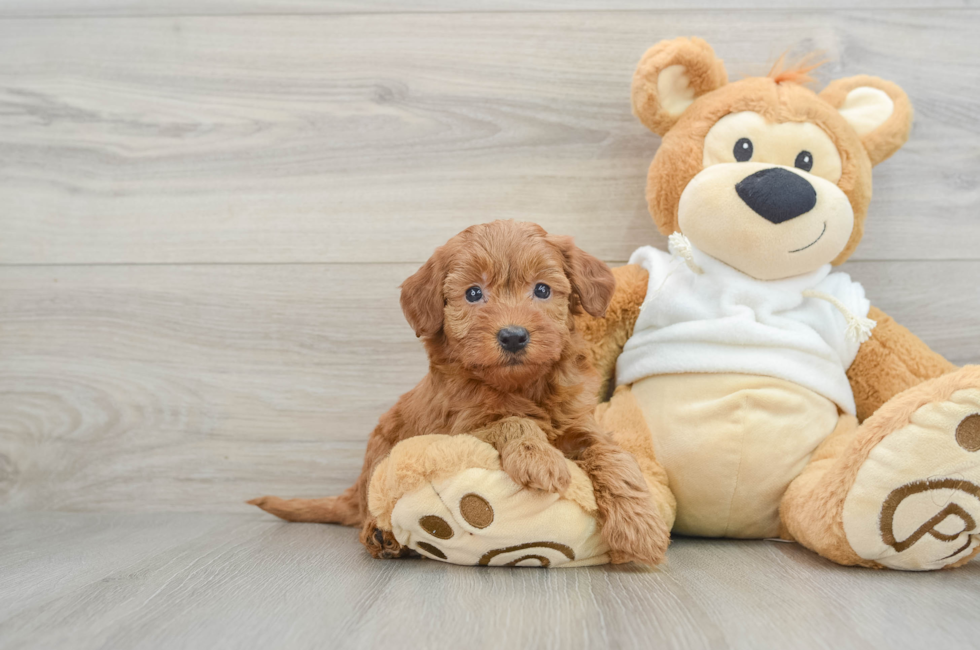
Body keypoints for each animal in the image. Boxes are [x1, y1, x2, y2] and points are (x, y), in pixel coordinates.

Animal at [249, 221, 668, 560]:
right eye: (473, 294)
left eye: (542, 289)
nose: (513, 336)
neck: (521, 386)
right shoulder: (459, 429)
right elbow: (511, 422)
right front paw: (538, 457)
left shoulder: (581, 424)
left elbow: (613, 457)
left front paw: (640, 526)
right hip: (381, 457)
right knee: (373, 504)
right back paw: (381, 536)